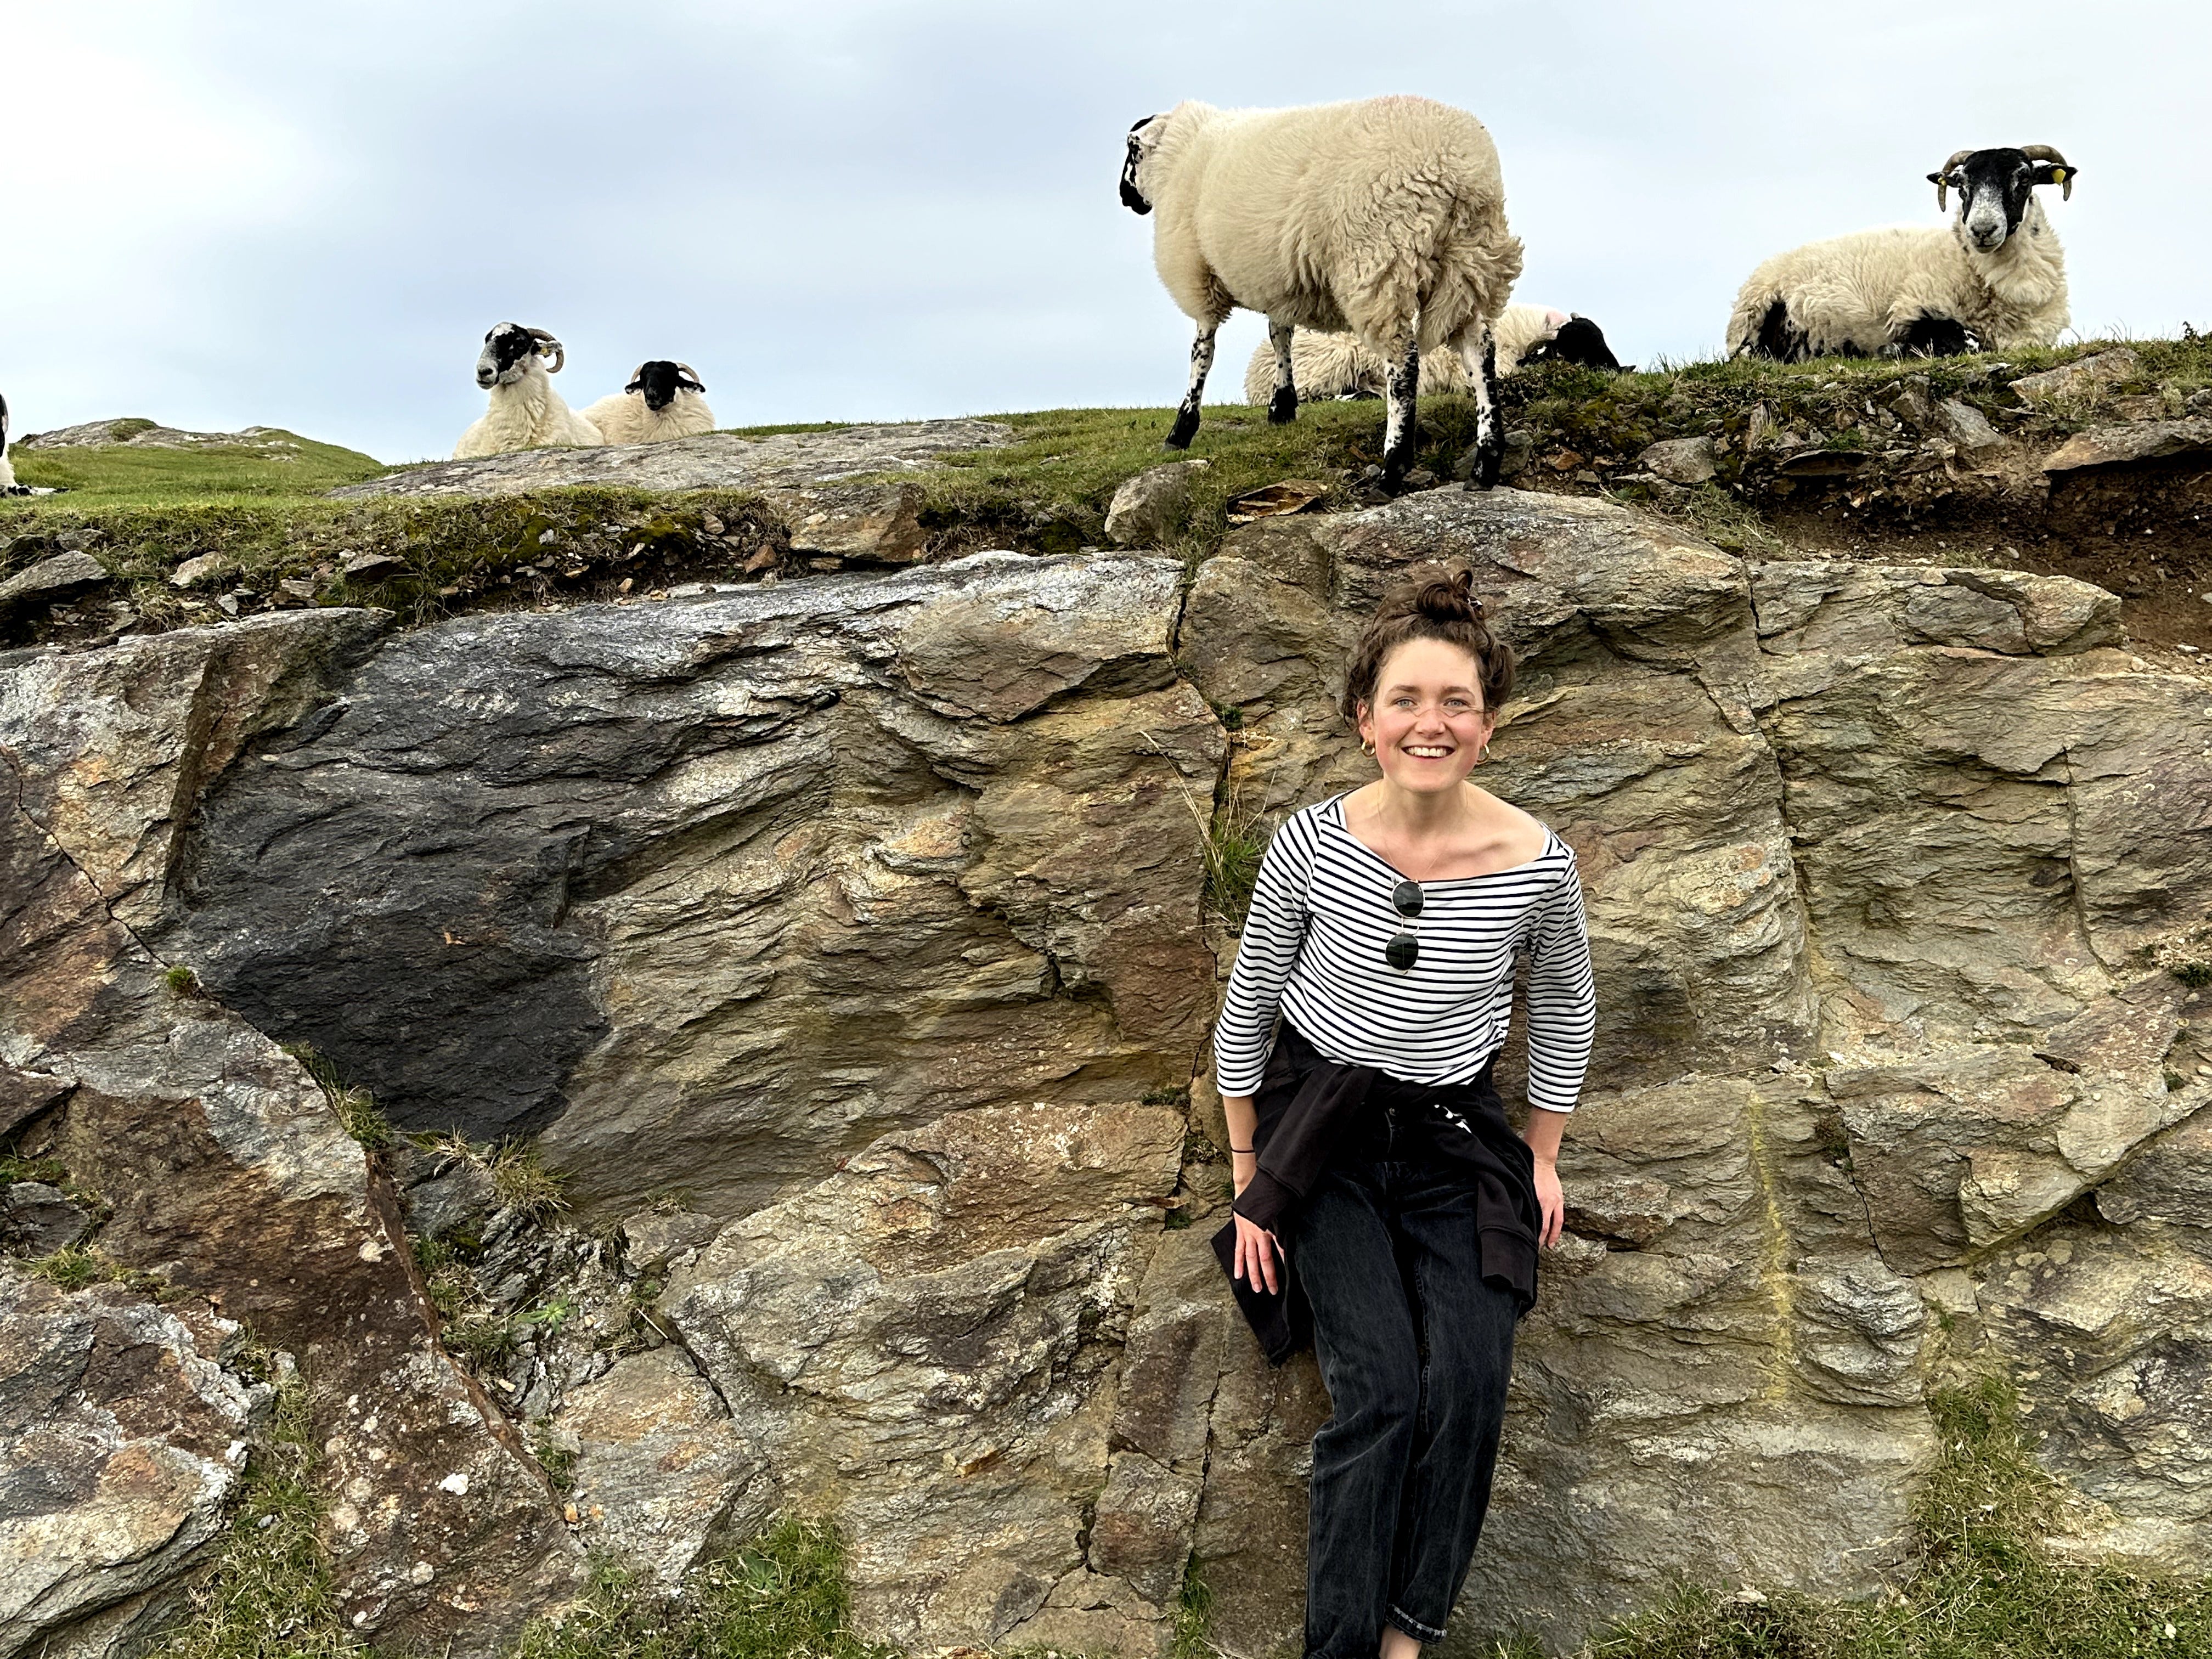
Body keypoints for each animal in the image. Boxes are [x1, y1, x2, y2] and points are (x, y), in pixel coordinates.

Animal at [1124, 94, 1522, 487]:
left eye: (1132, 150)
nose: (1126, 197)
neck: (1180, 153)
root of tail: (1459, 168)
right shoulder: (1281, 282)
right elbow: (1280, 336)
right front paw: (1282, 406)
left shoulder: (1197, 274)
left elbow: (1202, 353)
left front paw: (1182, 429)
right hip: (1469, 265)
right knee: (1479, 352)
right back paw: (1486, 462)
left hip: (1381, 261)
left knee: (1402, 362)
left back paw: (1392, 467)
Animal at [1725, 145, 2070, 360]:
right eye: (1962, 187)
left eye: (2024, 178)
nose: (1982, 230)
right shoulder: (1915, 308)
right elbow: (1965, 344)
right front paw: (1896, 351)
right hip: (1753, 326)